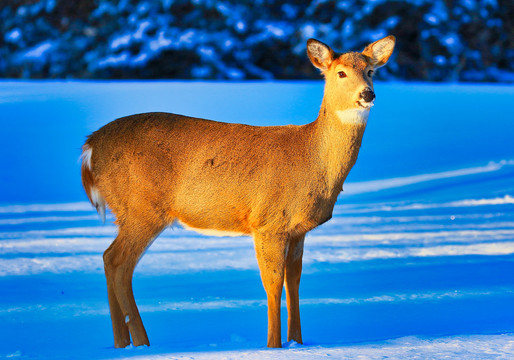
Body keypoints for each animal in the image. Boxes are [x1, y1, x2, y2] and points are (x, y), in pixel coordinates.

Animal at [80, 35, 394, 348]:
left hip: (129, 210)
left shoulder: (297, 230)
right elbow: (273, 284)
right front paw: (273, 346)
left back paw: (121, 344)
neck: (311, 157)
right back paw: (143, 343)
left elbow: (294, 282)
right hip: (143, 207)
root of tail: (89, 147)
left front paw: (298, 343)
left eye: (371, 71)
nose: (368, 94)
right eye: (340, 73)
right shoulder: (269, 222)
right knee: (119, 263)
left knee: (108, 259)